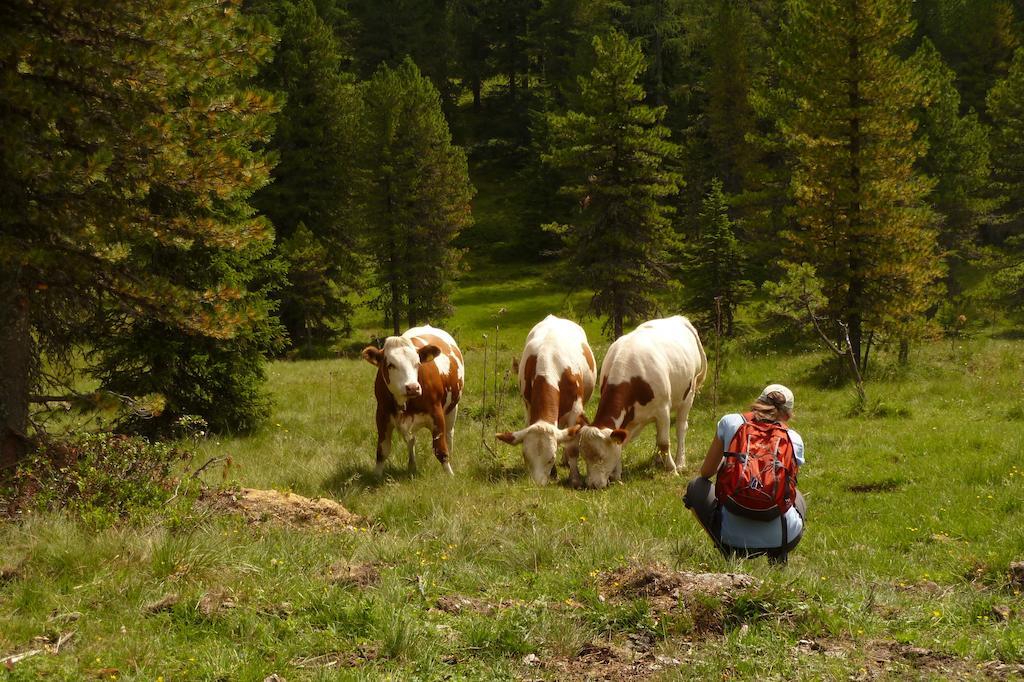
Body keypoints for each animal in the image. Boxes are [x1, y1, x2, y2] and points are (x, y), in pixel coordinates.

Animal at [360, 325, 464, 475]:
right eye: (390, 365)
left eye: (417, 363)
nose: (413, 387)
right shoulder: (381, 415)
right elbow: (382, 451)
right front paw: (376, 476)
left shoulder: (437, 415)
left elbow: (440, 450)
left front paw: (450, 475)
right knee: (411, 440)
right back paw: (412, 465)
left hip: (452, 408)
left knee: (449, 435)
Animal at [497, 313, 598, 483]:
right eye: (526, 457)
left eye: (551, 458)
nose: (538, 483)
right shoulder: (528, 407)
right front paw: (554, 473)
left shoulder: (575, 410)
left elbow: (572, 446)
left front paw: (575, 478)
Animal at [581, 315, 708, 485]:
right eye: (584, 456)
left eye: (601, 457)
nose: (592, 484)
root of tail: (679, 319)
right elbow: (623, 443)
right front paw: (617, 475)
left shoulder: (663, 409)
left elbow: (664, 442)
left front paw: (672, 470)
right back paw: (658, 460)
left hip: (689, 394)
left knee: (681, 427)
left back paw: (680, 463)